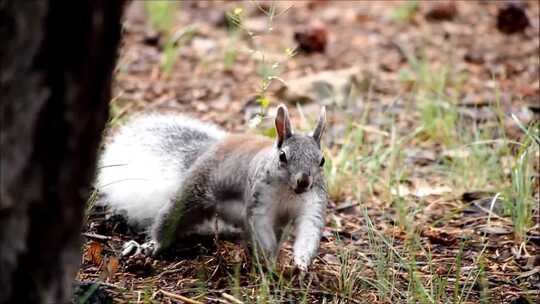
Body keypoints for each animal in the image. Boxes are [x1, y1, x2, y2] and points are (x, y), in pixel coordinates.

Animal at [95, 103, 326, 270]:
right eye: (283, 156)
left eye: (322, 160)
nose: (304, 181)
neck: (289, 192)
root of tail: (207, 150)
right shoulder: (259, 200)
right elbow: (261, 228)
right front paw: (270, 260)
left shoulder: (312, 205)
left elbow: (309, 232)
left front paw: (301, 264)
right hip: (192, 195)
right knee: (168, 221)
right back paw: (150, 246)